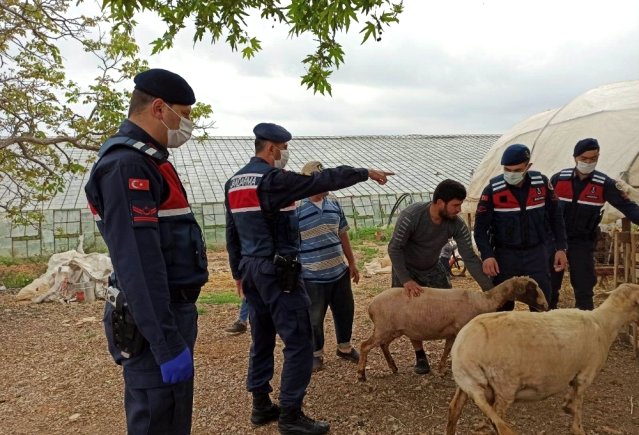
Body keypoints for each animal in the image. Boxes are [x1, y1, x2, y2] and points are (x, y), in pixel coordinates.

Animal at [358, 276, 548, 382]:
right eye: (532, 289)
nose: (546, 306)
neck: (483, 301)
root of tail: (371, 306)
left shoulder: (452, 332)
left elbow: (447, 349)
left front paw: (441, 370)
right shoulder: (460, 329)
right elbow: (453, 350)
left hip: (392, 329)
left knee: (383, 345)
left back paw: (393, 367)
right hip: (384, 328)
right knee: (364, 346)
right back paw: (361, 375)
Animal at [448, 282, 639, 435]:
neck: (604, 324)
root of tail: (461, 352)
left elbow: (572, 398)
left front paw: (566, 406)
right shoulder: (586, 373)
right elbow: (578, 404)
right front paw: (577, 427)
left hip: (467, 384)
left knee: (454, 409)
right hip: (503, 386)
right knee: (493, 422)